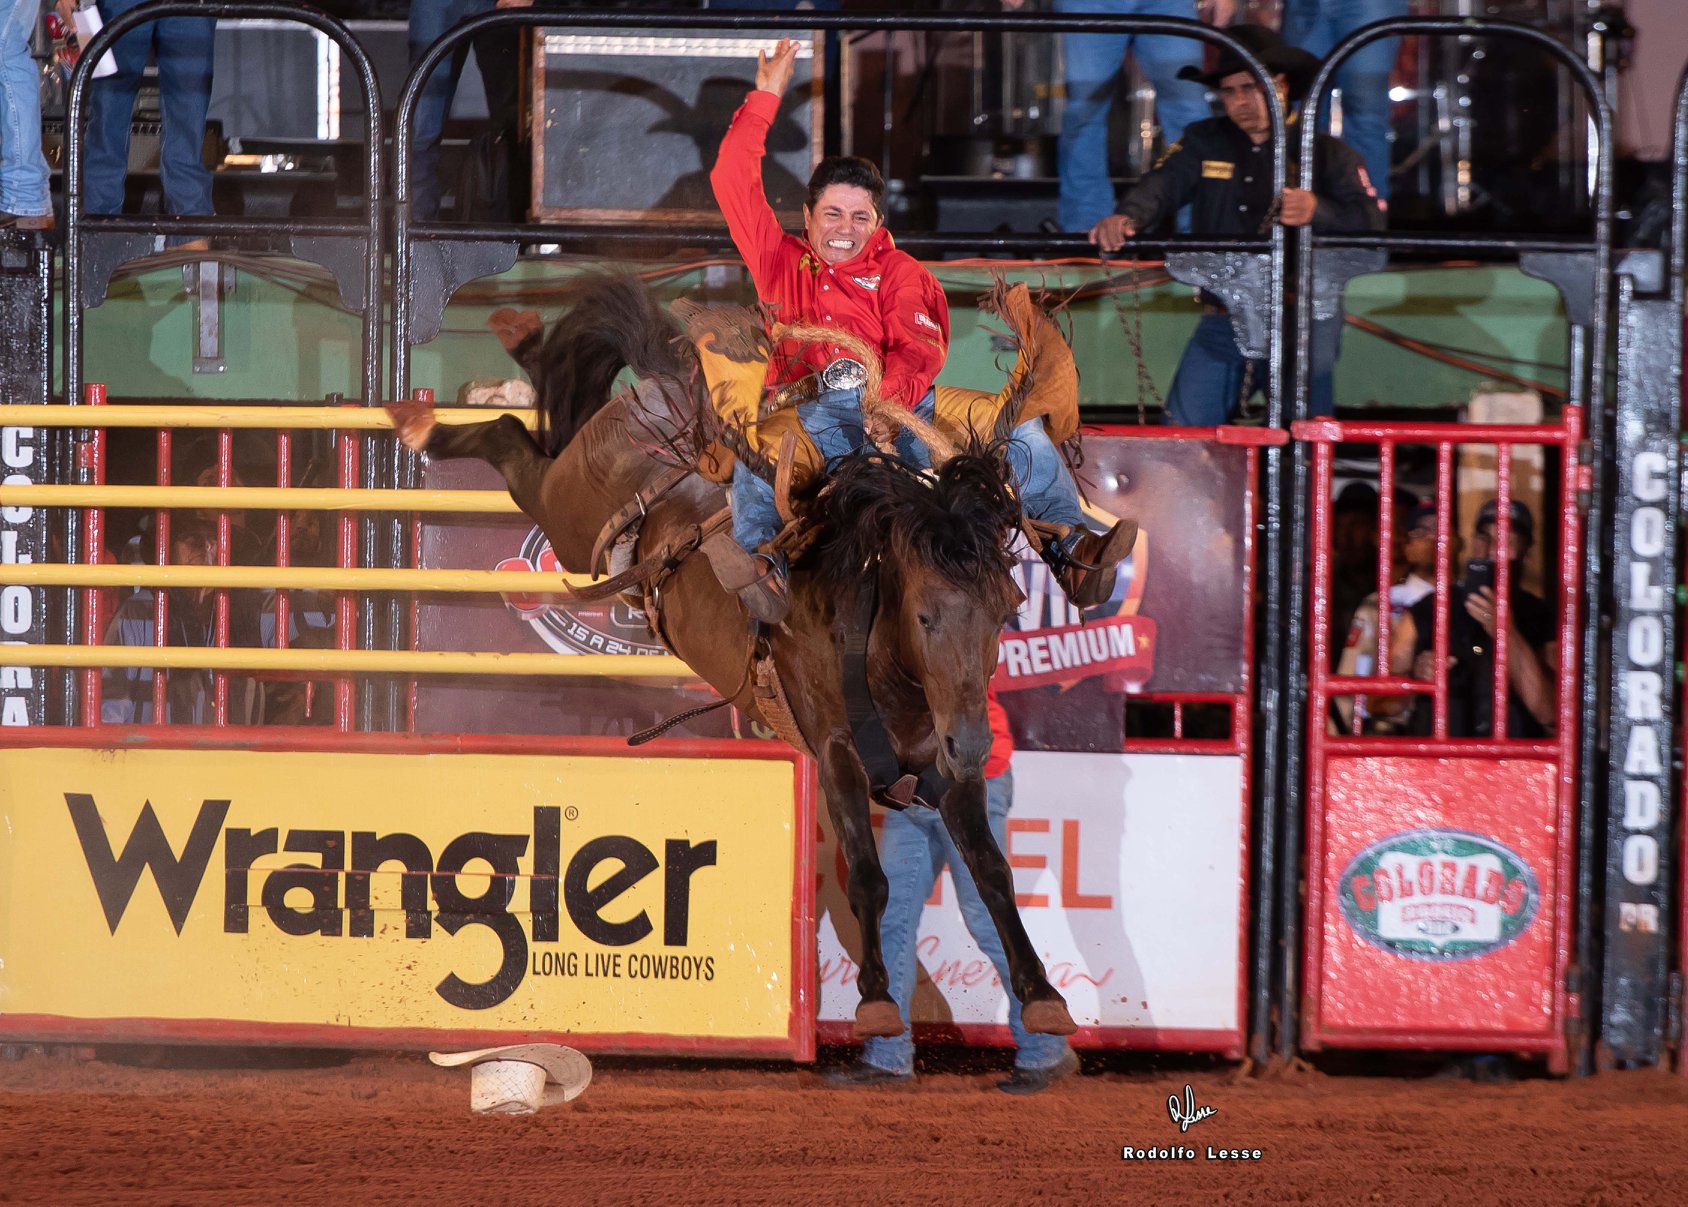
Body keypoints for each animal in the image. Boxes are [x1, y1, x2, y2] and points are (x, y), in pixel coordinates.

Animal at [388, 276, 1073, 1039]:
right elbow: (868, 874)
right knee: (514, 437)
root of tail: (672, 401)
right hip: (567, 506)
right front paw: (873, 999)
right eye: (925, 614)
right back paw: (436, 416)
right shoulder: (834, 748)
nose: (974, 740)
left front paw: (1041, 991)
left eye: (1006, 612)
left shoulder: (949, 766)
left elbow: (992, 870)